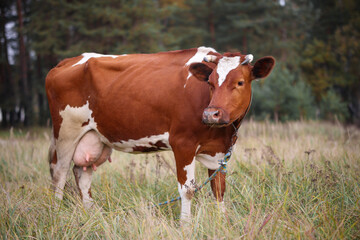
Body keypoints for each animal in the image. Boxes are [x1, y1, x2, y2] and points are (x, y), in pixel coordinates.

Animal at [46, 47, 274, 221]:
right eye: (210, 83)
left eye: (240, 82)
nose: (211, 114)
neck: (222, 132)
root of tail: (66, 62)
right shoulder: (182, 143)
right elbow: (187, 190)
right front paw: (185, 226)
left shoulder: (220, 151)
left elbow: (218, 189)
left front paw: (222, 221)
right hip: (66, 132)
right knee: (59, 174)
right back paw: (56, 216)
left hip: (94, 137)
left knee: (82, 173)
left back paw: (92, 215)